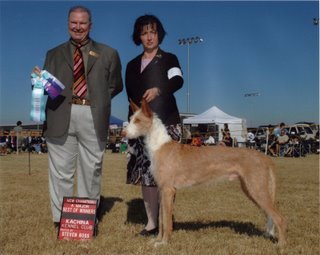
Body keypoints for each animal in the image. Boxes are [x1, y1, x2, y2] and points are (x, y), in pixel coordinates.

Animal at [124, 98, 286, 246]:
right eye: (130, 119)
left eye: (138, 120)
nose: (123, 133)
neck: (159, 146)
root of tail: (264, 157)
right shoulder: (161, 190)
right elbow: (161, 219)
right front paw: (157, 240)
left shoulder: (168, 190)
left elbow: (167, 221)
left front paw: (164, 243)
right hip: (251, 189)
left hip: (257, 189)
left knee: (279, 217)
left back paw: (281, 245)